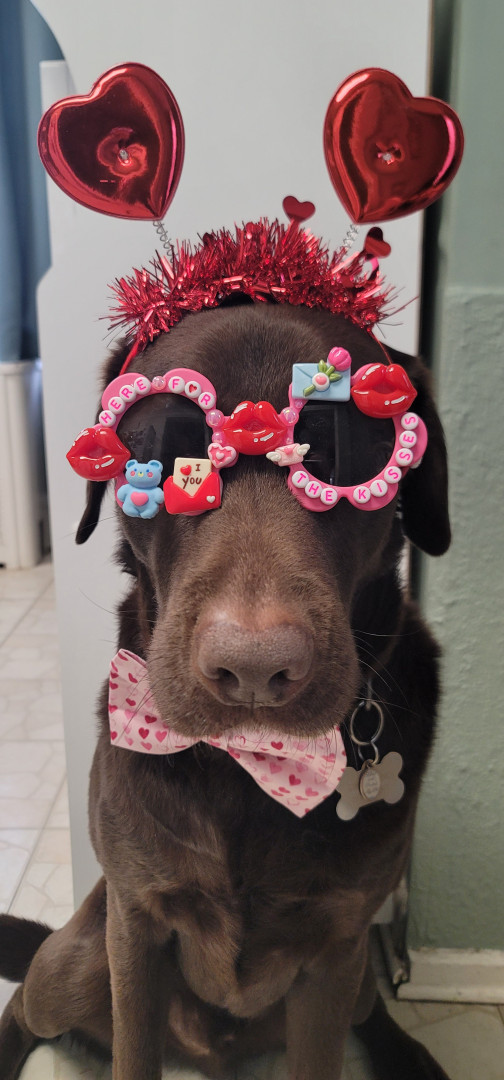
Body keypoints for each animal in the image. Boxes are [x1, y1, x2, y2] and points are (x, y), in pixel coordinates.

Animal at [0, 300, 452, 1080]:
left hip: (355, 971)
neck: (250, 769)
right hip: (76, 961)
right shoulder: (136, 924)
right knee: (27, 1000)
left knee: (373, 1005)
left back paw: (409, 1055)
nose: (253, 670)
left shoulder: (337, 949)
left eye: (343, 449)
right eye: (158, 449)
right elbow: (133, 1053)